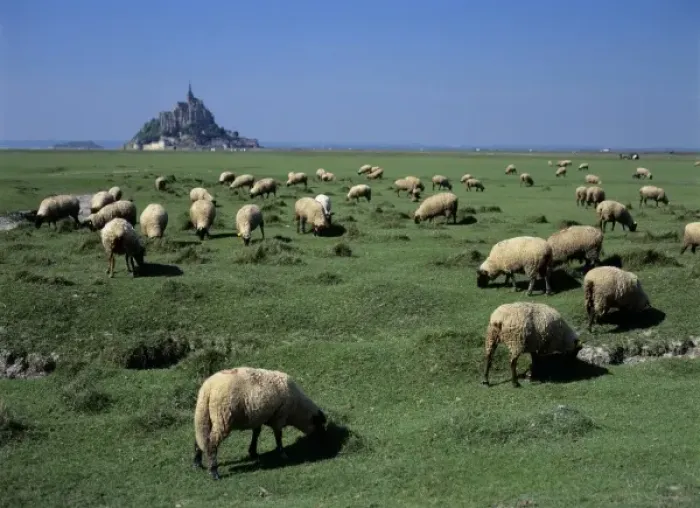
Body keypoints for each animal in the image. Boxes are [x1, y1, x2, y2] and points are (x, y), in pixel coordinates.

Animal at [192, 367, 327, 480]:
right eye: (319, 424)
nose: (323, 441)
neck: (297, 409)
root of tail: (208, 388)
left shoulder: (258, 417)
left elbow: (256, 433)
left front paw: (253, 452)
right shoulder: (279, 417)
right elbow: (278, 437)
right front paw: (283, 454)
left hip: (203, 415)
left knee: (200, 438)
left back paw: (197, 463)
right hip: (223, 417)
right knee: (211, 443)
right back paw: (214, 472)